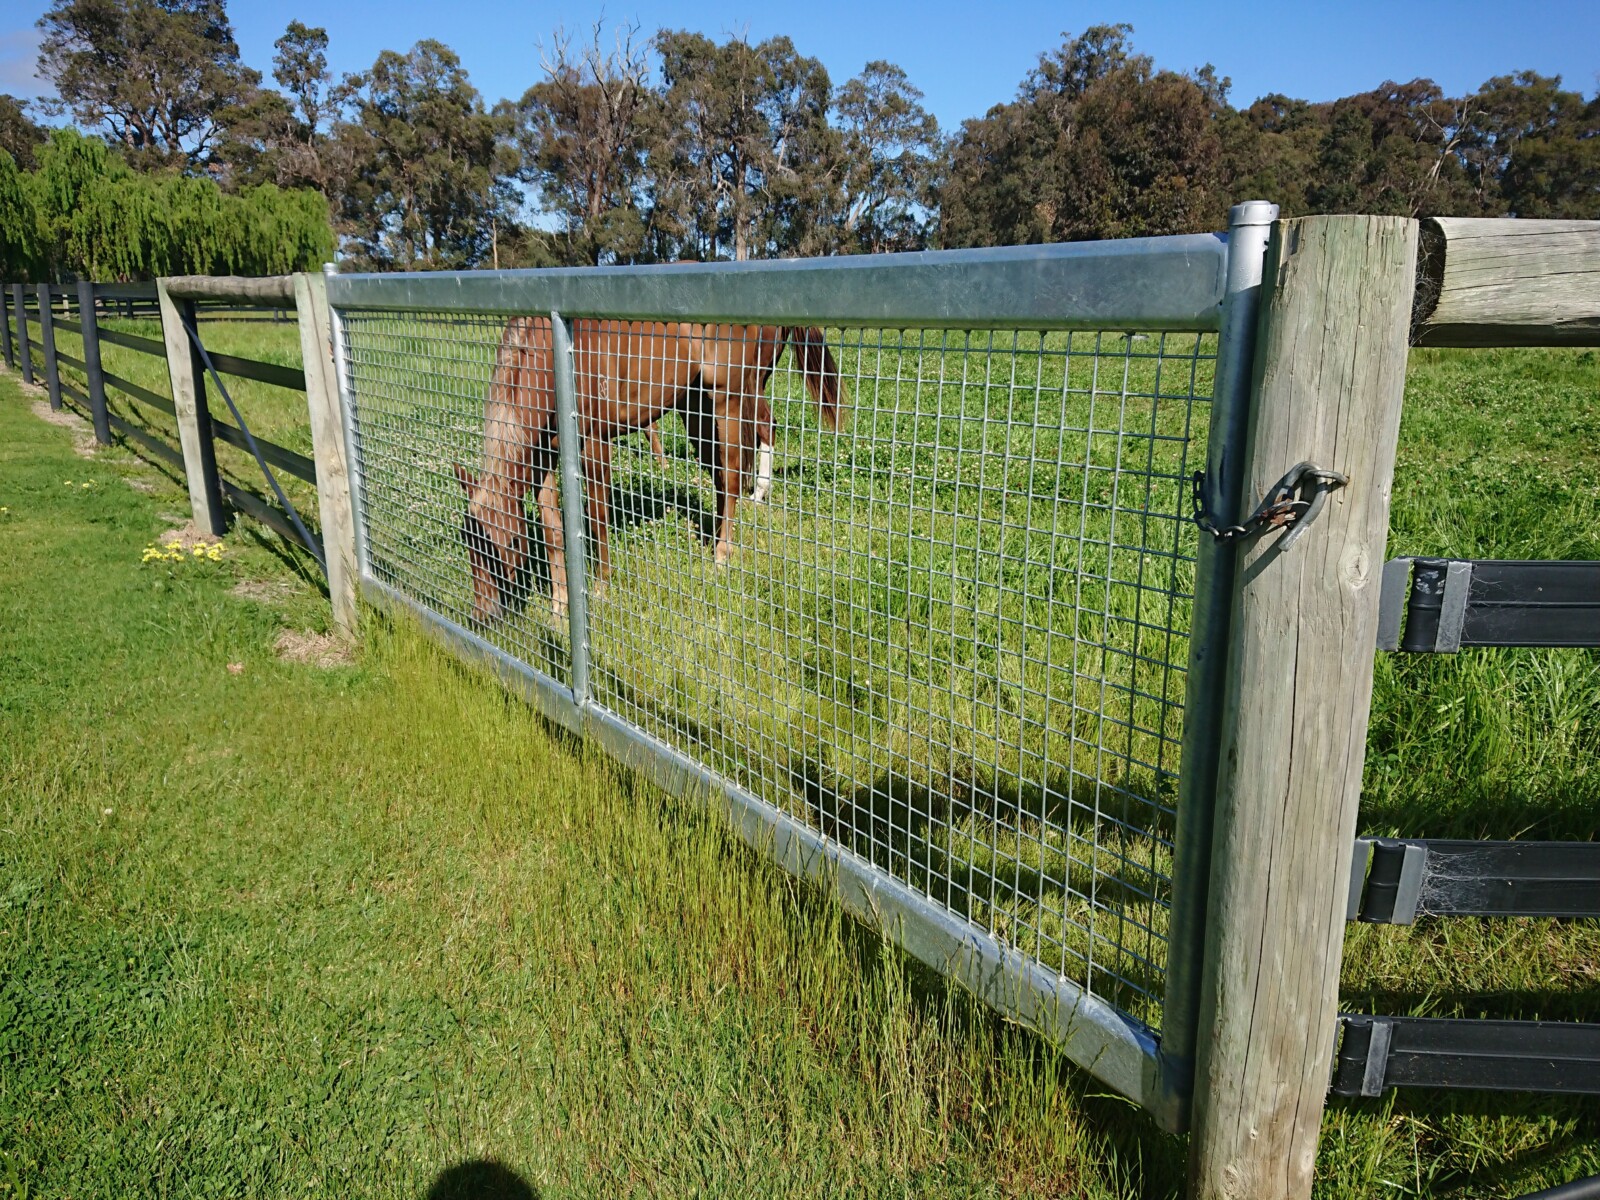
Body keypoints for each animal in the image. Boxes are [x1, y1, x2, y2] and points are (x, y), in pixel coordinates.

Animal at [453, 318, 843, 624]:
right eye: (469, 543)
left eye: (509, 543)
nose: (482, 617)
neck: (550, 360)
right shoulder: (542, 460)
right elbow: (553, 533)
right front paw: (559, 607)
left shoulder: (595, 444)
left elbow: (598, 519)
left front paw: (601, 588)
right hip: (695, 406)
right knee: (722, 471)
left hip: (729, 398)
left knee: (738, 466)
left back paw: (724, 552)